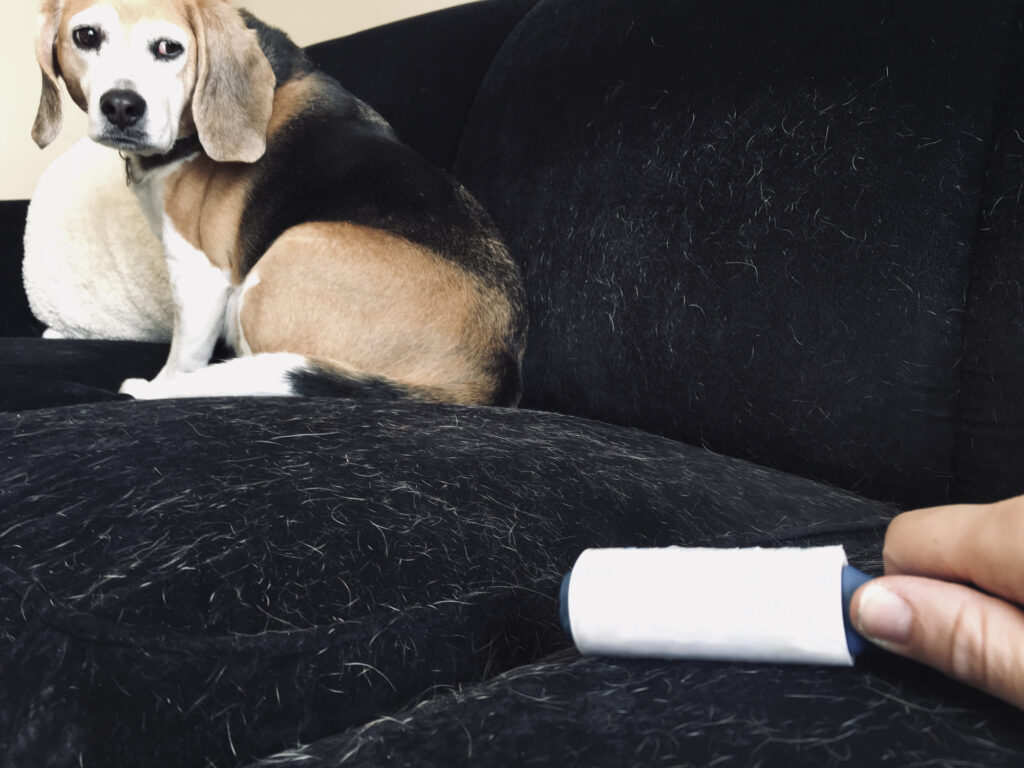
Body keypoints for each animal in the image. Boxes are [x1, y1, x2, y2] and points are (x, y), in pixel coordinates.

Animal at [32, 0, 528, 405]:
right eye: (86, 36)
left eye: (170, 48)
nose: (122, 107)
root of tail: (490, 374)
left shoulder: (200, 272)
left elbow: (183, 352)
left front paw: (161, 384)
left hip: (280, 262)